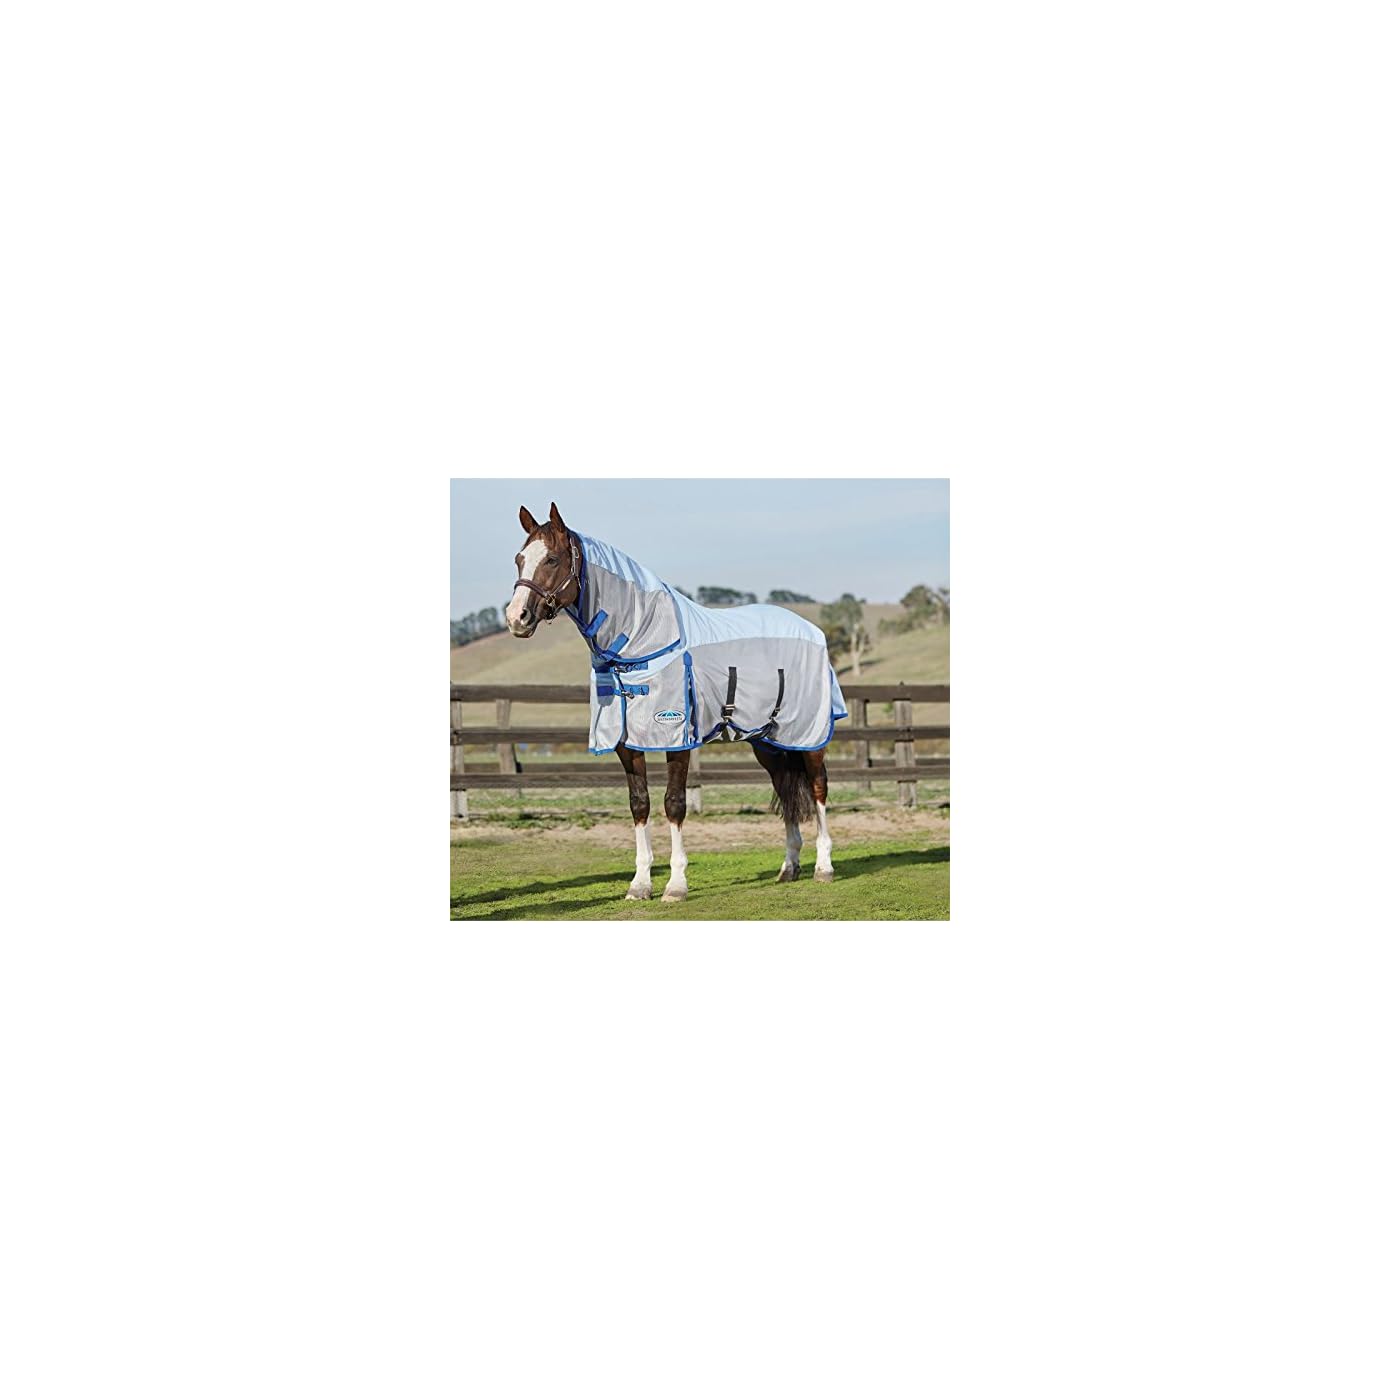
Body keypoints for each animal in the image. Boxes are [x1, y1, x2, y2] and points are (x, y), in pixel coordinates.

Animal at [504, 502, 847, 902]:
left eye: (553, 559)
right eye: (519, 559)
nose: (516, 618)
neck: (642, 646)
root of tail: (813, 631)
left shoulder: (677, 736)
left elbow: (674, 803)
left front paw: (676, 885)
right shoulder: (626, 744)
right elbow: (639, 803)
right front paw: (639, 885)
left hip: (809, 736)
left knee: (818, 787)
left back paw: (824, 868)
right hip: (767, 741)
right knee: (784, 788)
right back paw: (789, 868)